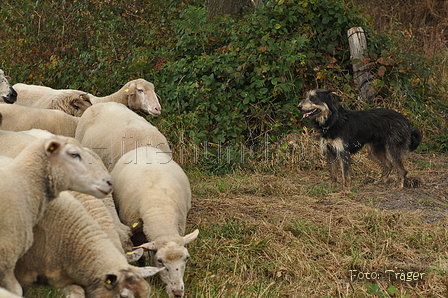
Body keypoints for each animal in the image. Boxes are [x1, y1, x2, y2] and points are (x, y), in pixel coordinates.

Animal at [111, 146, 199, 298]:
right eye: (160, 260)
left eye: (186, 258)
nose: (177, 293)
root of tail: (144, 147)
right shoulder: (137, 236)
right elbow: (141, 255)